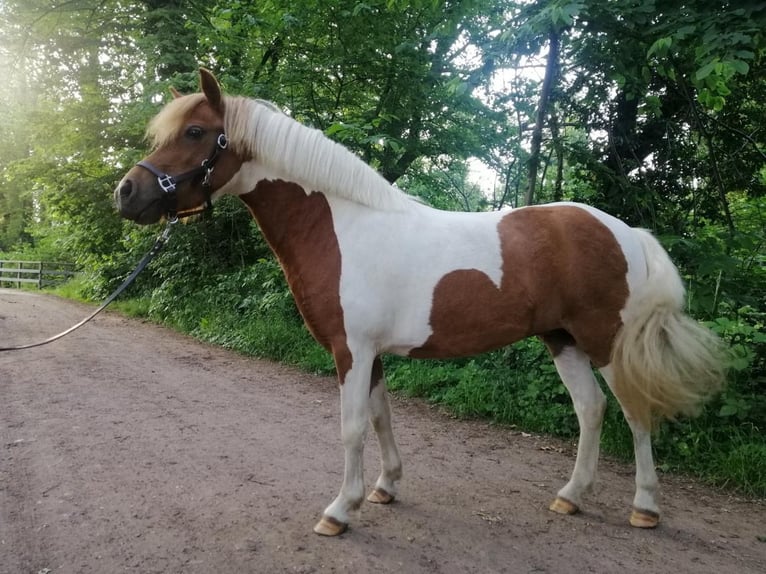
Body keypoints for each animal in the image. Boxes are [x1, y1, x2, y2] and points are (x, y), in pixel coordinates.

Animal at [112, 70, 728, 536]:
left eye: (196, 131)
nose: (127, 194)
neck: (341, 228)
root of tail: (625, 231)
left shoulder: (352, 350)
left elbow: (352, 427)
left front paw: (339, 511)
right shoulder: (372, 354)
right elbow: (382, 417)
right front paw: (384, 489)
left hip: (605, 339)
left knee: (635, 411)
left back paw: (645, 508)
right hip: (563, 339)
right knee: (591, 409)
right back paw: (571, 496)